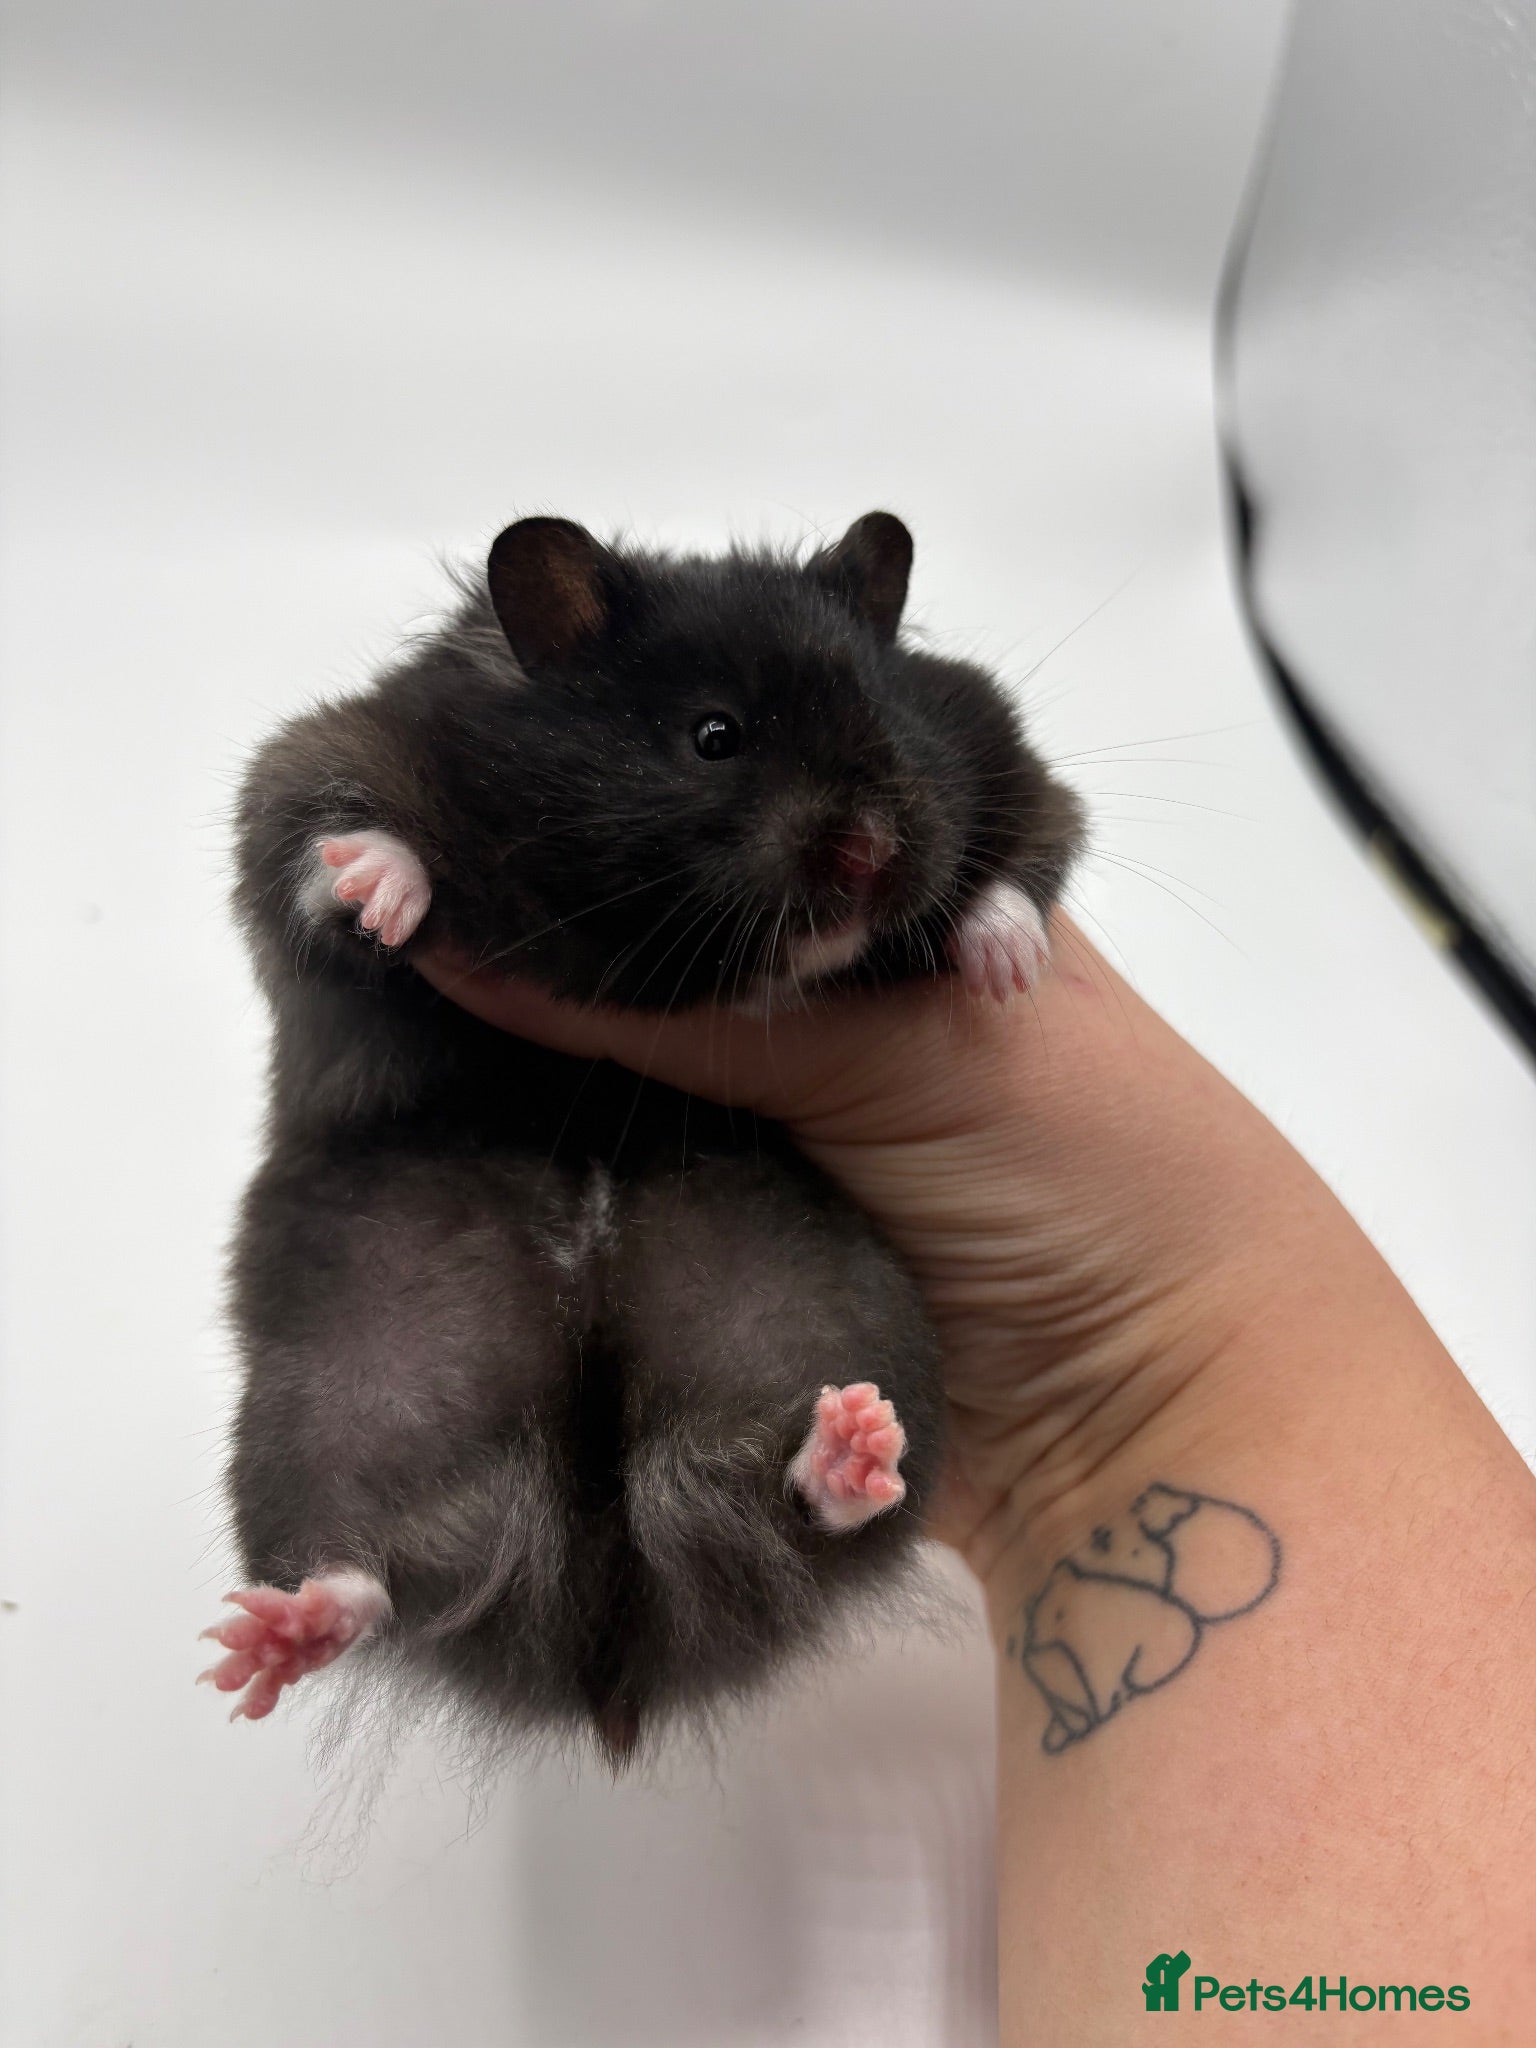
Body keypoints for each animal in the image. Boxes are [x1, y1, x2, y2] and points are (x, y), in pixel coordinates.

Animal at [201, 511, 1085, 1766]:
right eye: (714, 735)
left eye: (895, 715)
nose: (870, 854)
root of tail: (610, 1627)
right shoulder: (318, 758)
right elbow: (327, 845)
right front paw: (379, 890)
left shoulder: (1007, 759)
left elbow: (1027, 848)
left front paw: (1003, 968)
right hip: (340, 1392)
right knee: (373, 1570)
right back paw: (270, 1643)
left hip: (822, 1318)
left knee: (800, 1508)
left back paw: (850, 1448)